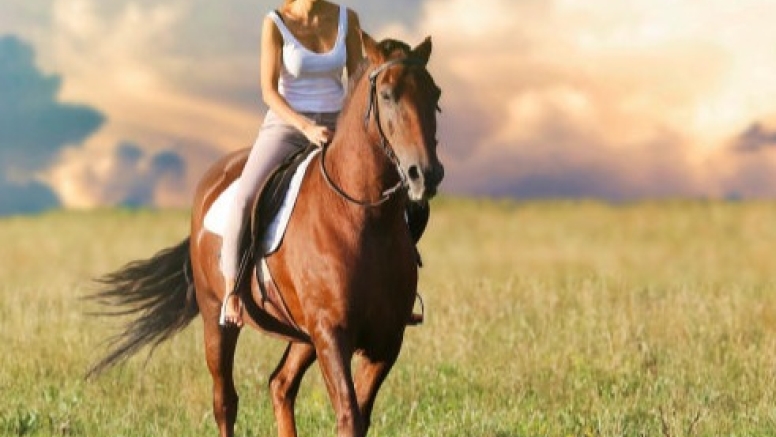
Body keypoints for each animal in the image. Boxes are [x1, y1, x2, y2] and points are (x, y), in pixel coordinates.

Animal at [85, 32, 442, 436]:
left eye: (435, 94)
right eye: (387, 94)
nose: (425, 174)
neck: (364, 218)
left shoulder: (386, 339)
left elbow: (358, 417)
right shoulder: (332, 334)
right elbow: (348, 416)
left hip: (302, 334)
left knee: (280, 384)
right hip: (217, 318)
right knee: (226, 400)